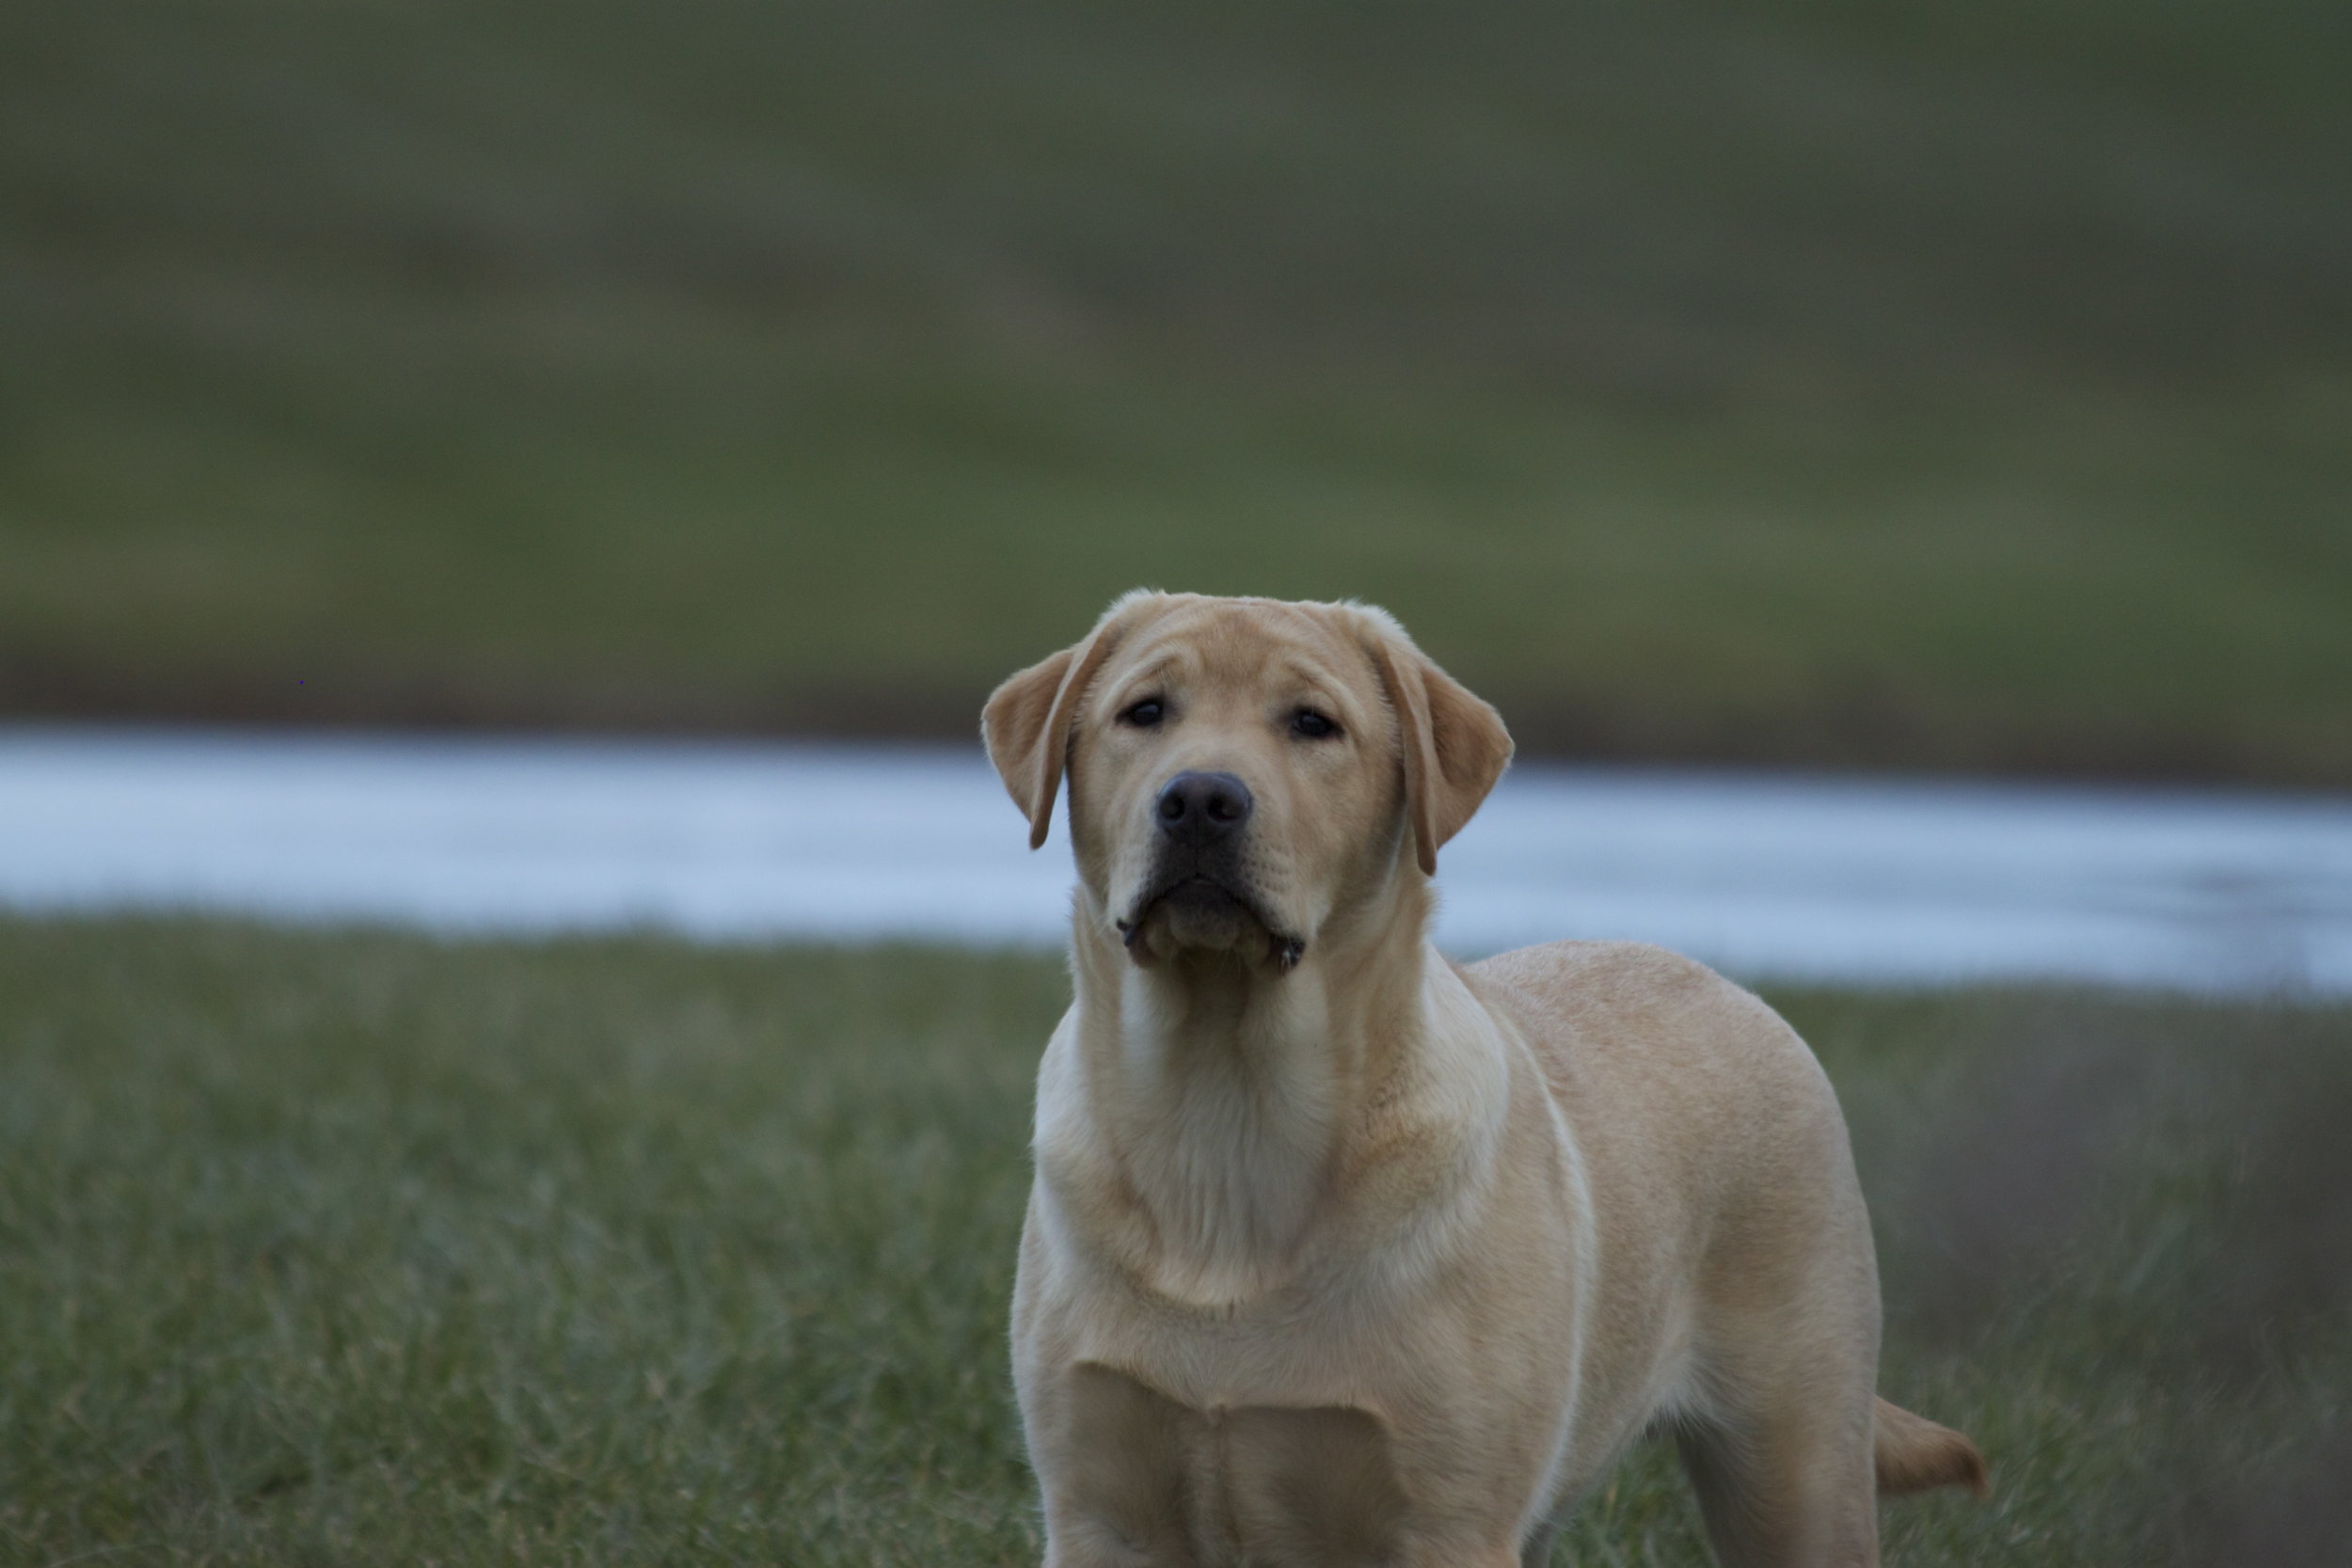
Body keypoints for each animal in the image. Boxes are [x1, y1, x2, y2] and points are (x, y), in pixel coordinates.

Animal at [974, 594, 1985, 1560]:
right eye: (1144, 711)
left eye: (1313, 723)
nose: (1199, 798)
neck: (1223, 1108)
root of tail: (1723, 979)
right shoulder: (1099, 1514)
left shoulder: (1451, 1523)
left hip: (1796, 1466)